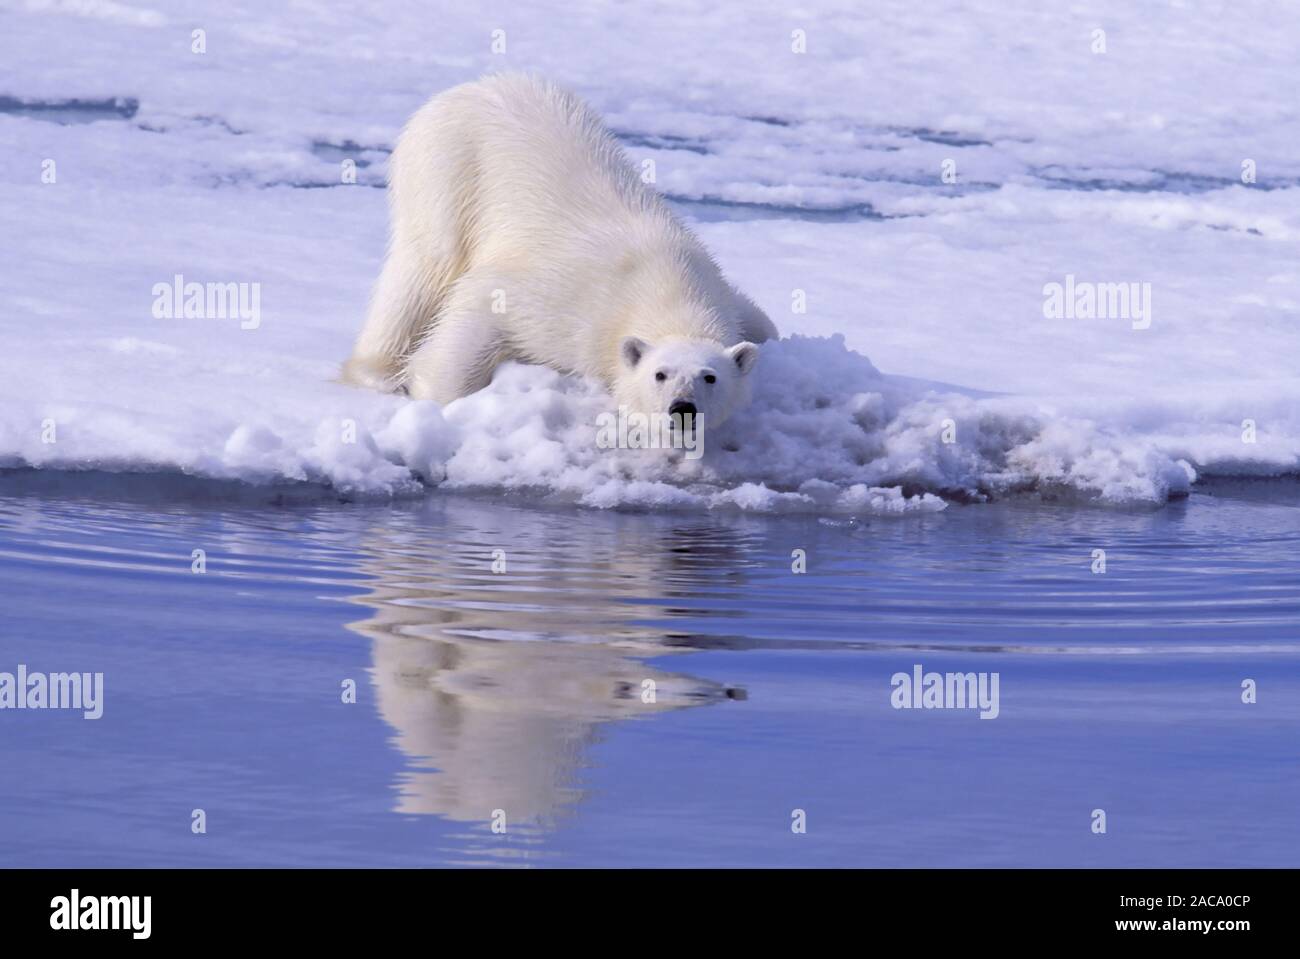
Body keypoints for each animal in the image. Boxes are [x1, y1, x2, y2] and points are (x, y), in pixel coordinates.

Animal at [340, 74, 774, 428]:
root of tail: (471, 87)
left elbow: (763, 322)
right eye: (660, 374)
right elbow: (480, 309)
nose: (682, 409)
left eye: (710, 376)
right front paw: (436, 391)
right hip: (446, 170)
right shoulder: (573, 301)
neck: (664, 285)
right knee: (425, 265)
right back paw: (376, 371)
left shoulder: (719, 287)